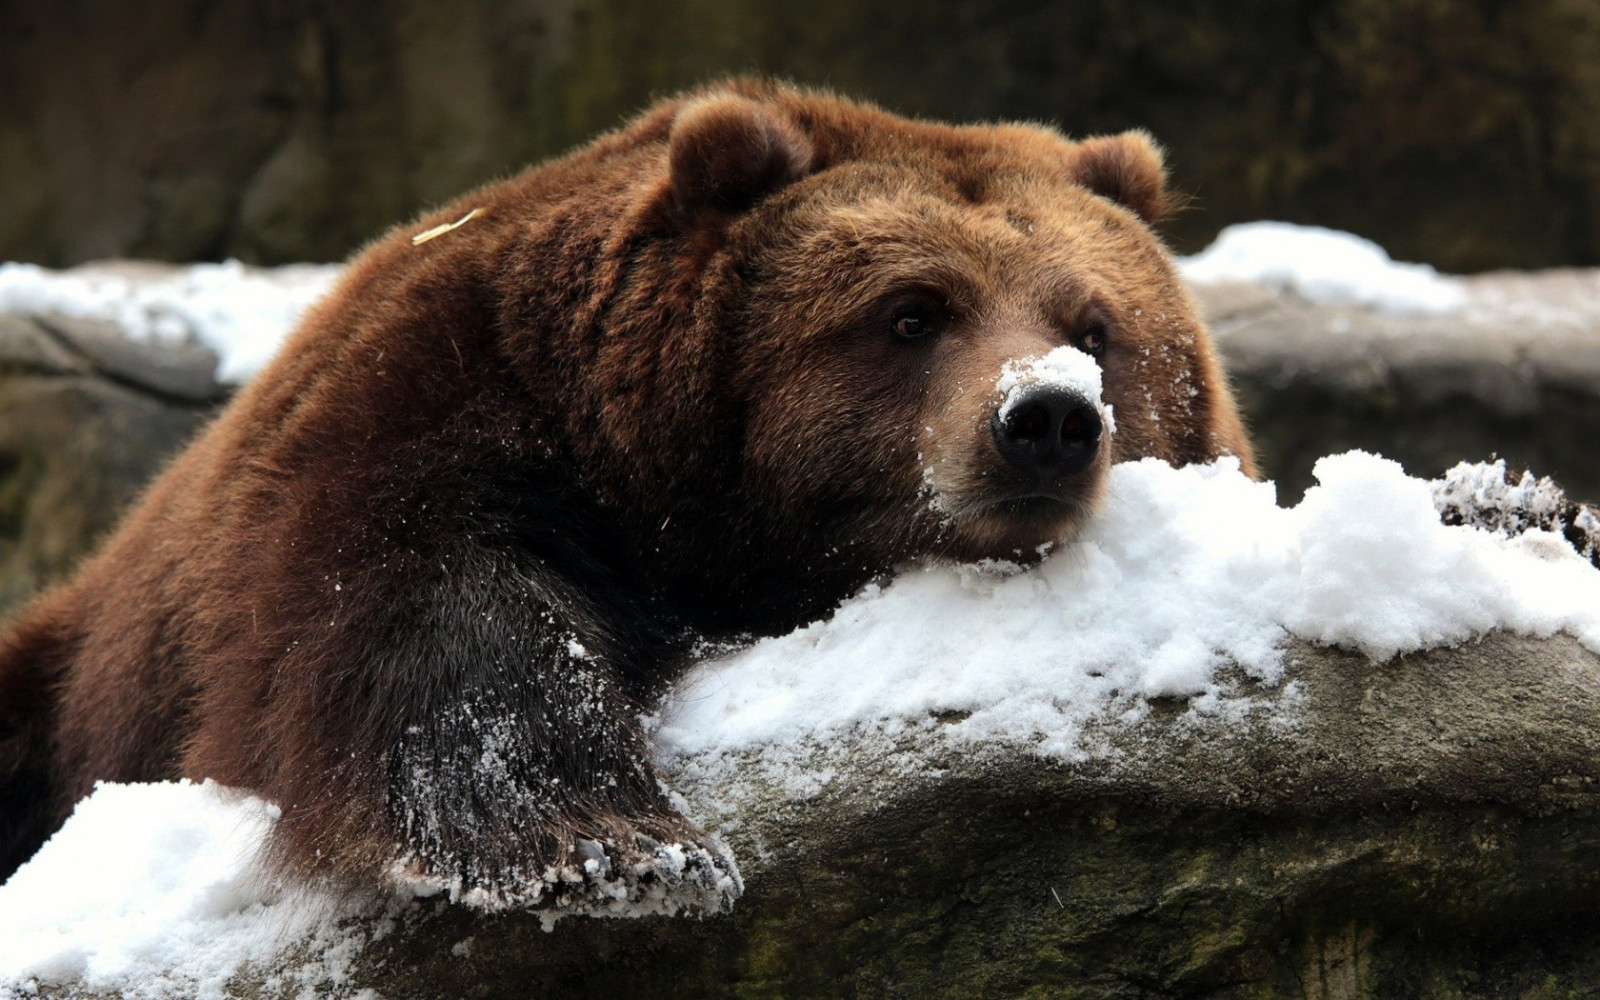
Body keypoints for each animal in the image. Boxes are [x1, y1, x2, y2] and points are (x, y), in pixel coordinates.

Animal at [0, 80, 1253, 911]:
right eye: (910, 311)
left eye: (1095, 327)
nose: (1046, 421)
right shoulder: (456, 395)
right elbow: (429, 602)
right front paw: (612, 846)